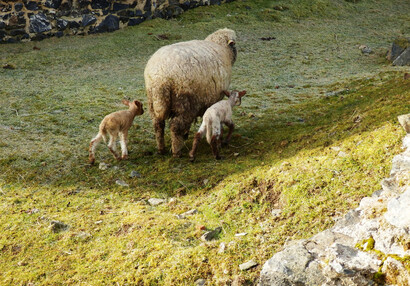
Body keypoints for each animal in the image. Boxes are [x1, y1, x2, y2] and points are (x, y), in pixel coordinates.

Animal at [146, 27, 239, 158]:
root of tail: (160, 79)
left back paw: (161, 149)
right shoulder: (216, 97)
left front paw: (185, 134)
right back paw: (177, 152)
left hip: (153, 102)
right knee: (175, 126)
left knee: (158, 125)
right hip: (185, 102)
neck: (222, 48)